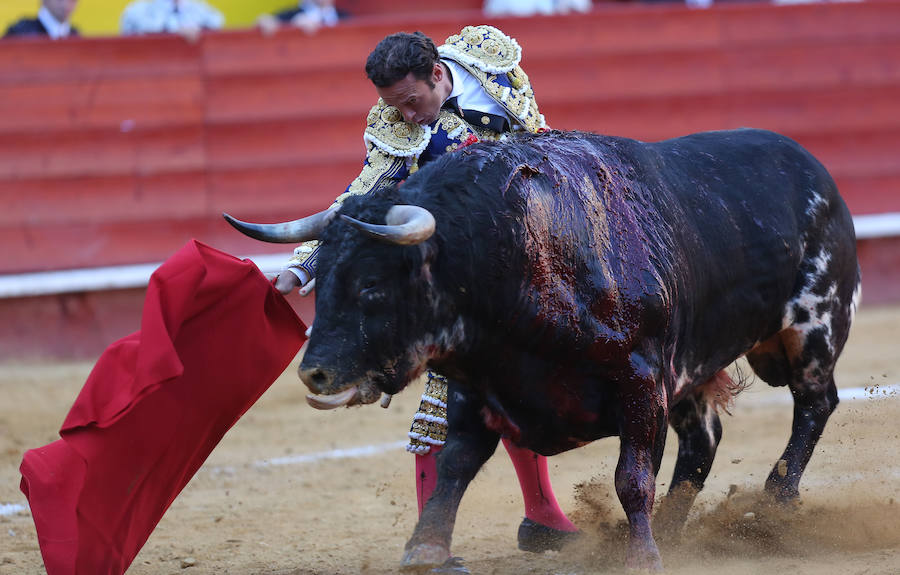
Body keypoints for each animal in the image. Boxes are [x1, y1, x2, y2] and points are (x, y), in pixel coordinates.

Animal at [225, 128, 856, 572]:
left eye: (372, 285)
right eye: (321, 283)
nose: (314, 375)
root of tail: (815, 170)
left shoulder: (640, 383)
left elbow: (631, 477)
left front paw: (640, 557)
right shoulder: (478, 385)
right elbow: (454, 464)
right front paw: (425, 551)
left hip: (813, 327)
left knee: (815, 404)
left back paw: (771, 506)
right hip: (692, 370)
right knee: (703, 440)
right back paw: (680, 534)